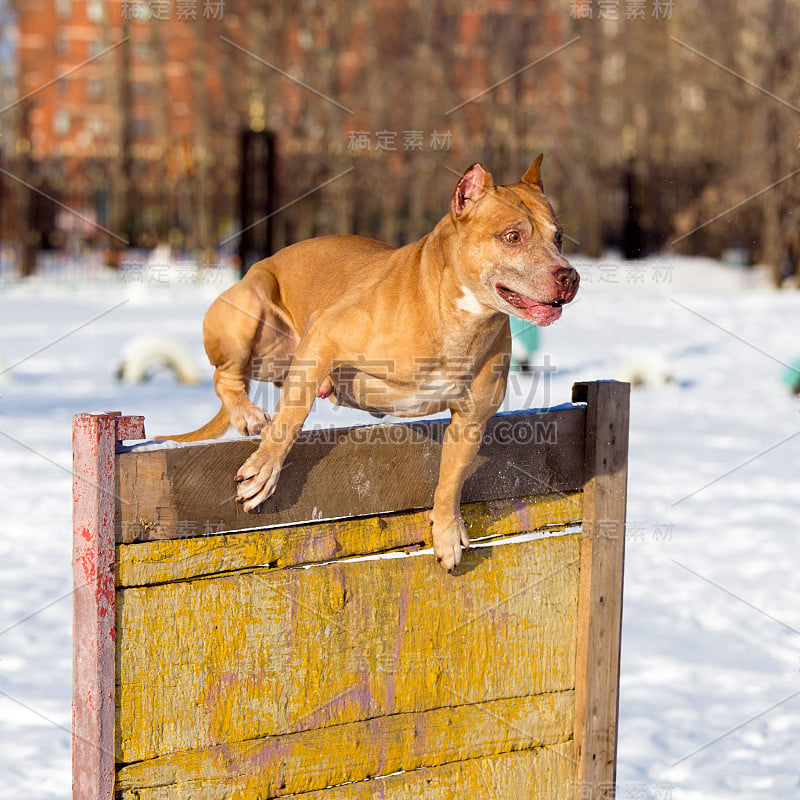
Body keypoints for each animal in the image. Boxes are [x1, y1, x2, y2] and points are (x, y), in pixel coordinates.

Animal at [159, 156, 580, 568]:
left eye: (558, 237)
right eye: (512, 236)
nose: (569, 276)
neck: (458, 315)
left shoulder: (470, 421)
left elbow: (451, 478)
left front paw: (447, 532)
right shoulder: (323, 336)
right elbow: (291, 416)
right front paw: (265, 468)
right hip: (251, 304)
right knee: (226, 376)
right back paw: (246, 413)